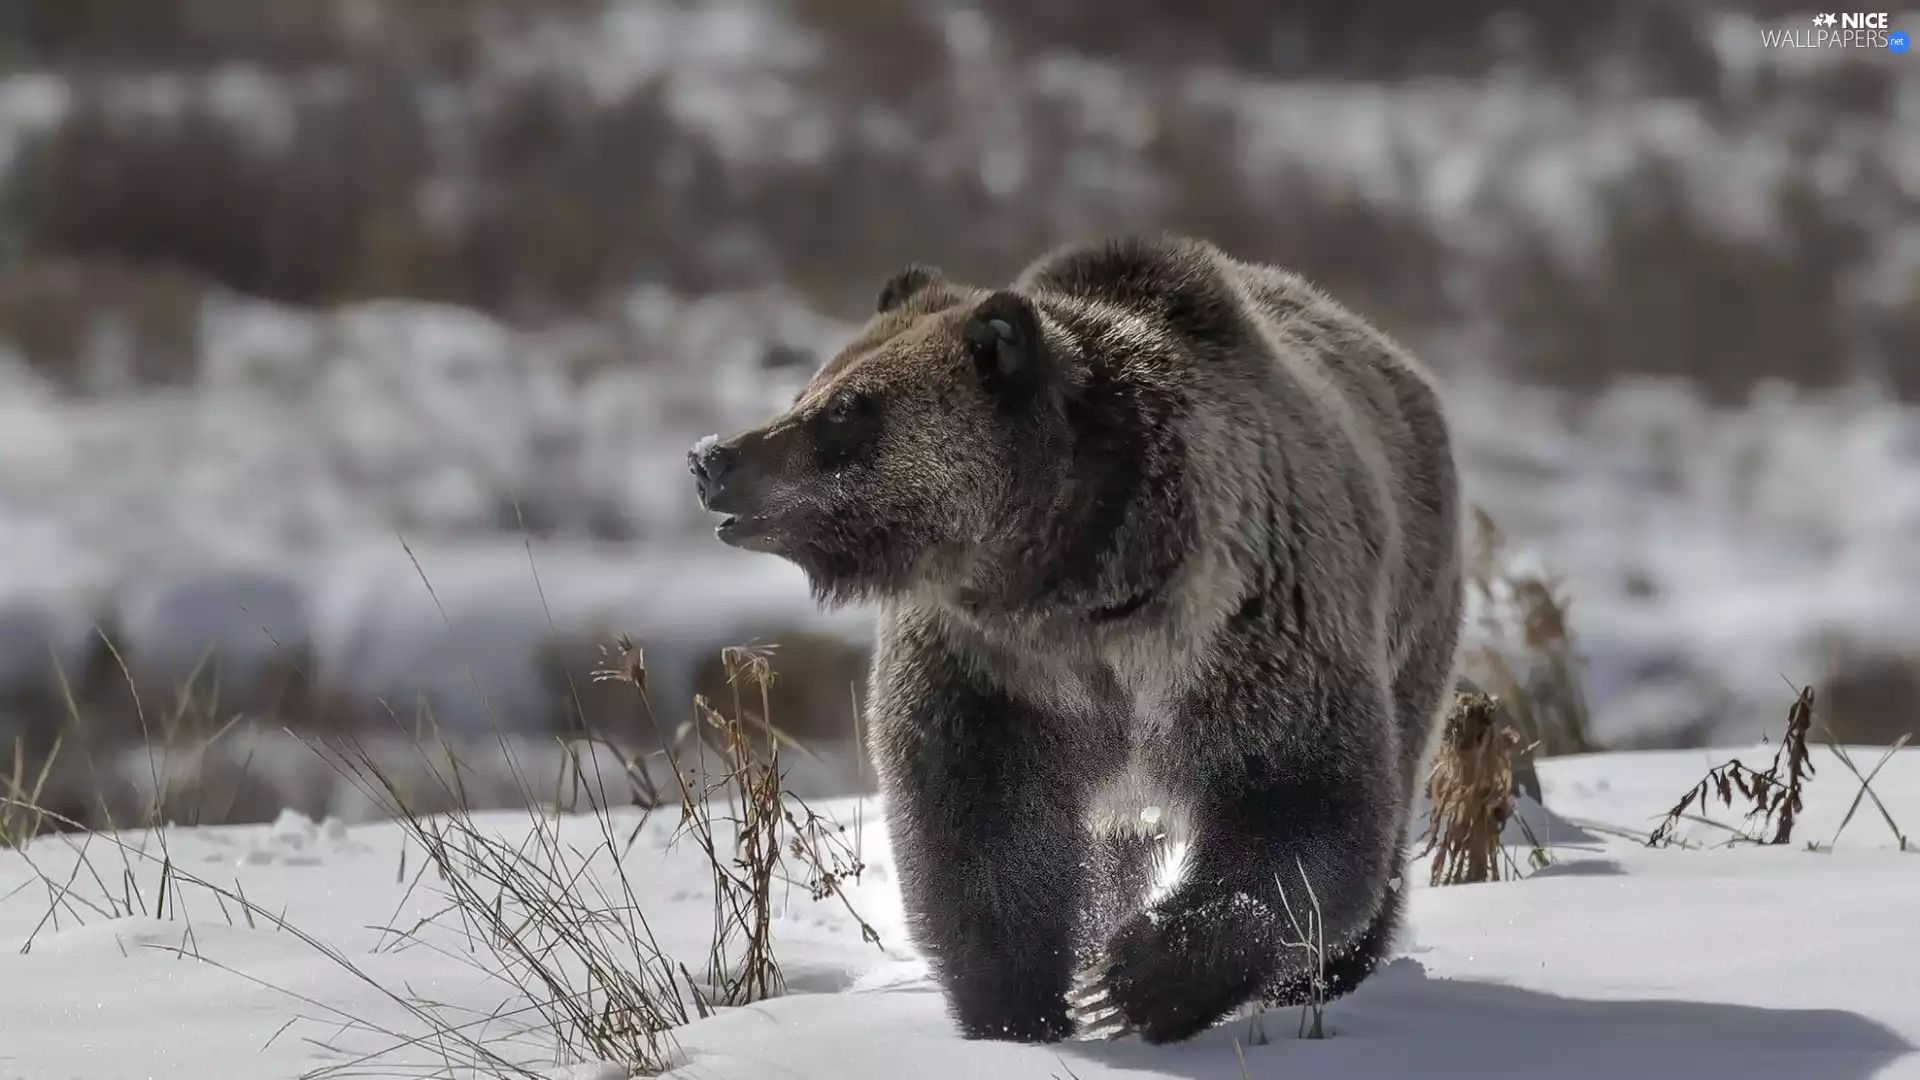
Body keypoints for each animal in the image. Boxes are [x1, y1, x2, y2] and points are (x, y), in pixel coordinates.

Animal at [687, 234, 1464, 1045]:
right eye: (816, 384)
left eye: (844, 409)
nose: (713, 458)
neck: (1076, 582)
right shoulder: (993, 669)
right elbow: (979, 828)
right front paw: (1021, 1006)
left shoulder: (1250, 626)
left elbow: (1297, 798)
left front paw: (1133, 981)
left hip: (1413, 610)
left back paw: (1330, 976)